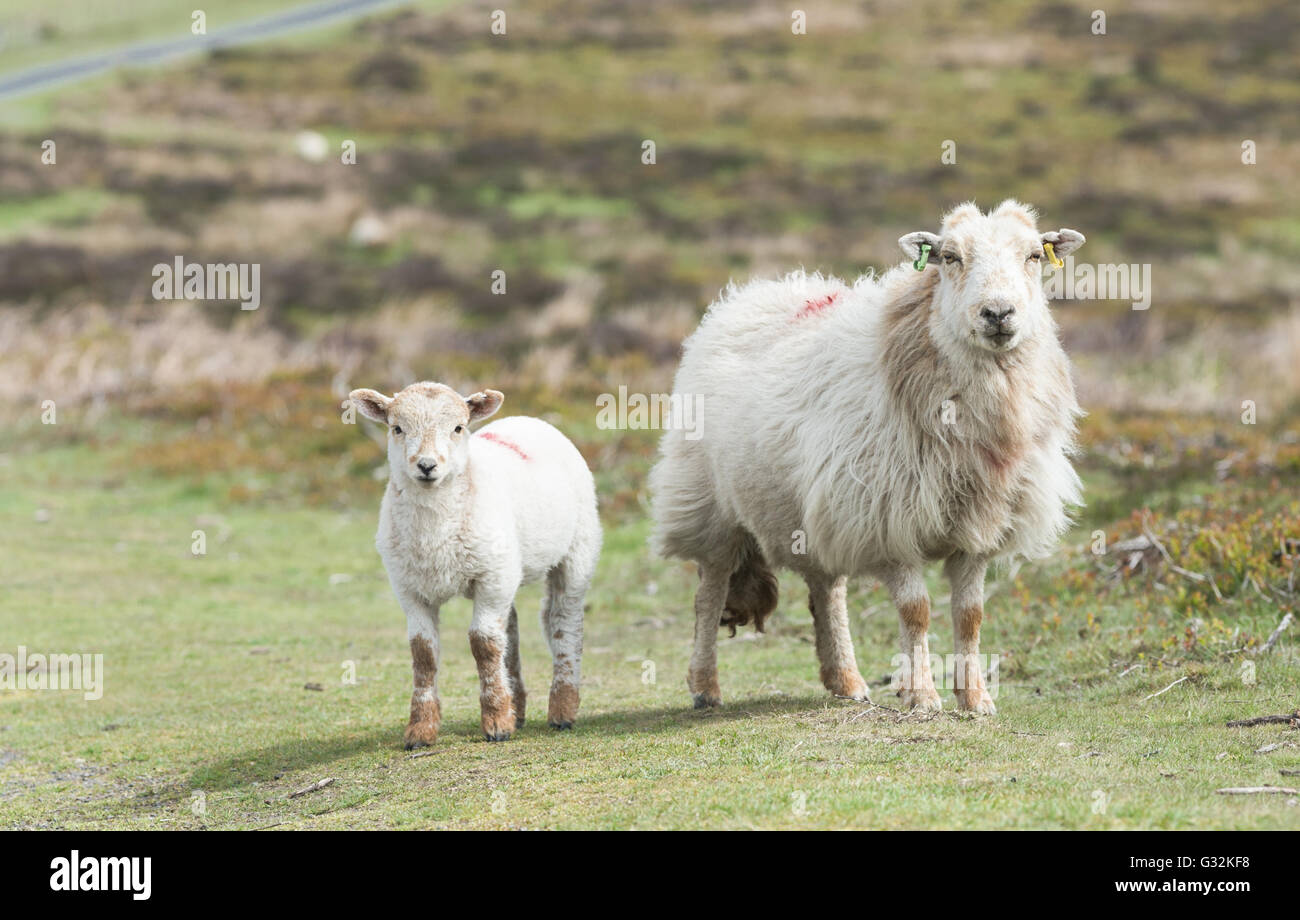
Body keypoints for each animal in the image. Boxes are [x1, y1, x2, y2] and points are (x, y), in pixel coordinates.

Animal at [348, 382, 601, 745]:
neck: (435, 534)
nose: (426, 466)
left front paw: (496, 722)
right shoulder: (409, 588)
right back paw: (518, 707)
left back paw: (562, 710)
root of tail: (530, 420)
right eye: (397, 428)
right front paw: (421, 729)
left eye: (458, 428)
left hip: (576, 548)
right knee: (511, 625)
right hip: (506, 569)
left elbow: (484, 644)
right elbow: (423, 653)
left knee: (563, 621)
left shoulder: (492, 577)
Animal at [649, 200, 1085, 715]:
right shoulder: (887, 520)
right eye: (950, 257)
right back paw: (705, 686)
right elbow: (916, 612)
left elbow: (971, 615)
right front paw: (923, 697)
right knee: (709, 594)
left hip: (815, 509)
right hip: (709, 505)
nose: (998, 313)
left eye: (1035, 255)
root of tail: (757, 290)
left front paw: (975, 698)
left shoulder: (980, 524)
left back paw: (846, 679)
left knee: (826, 590)